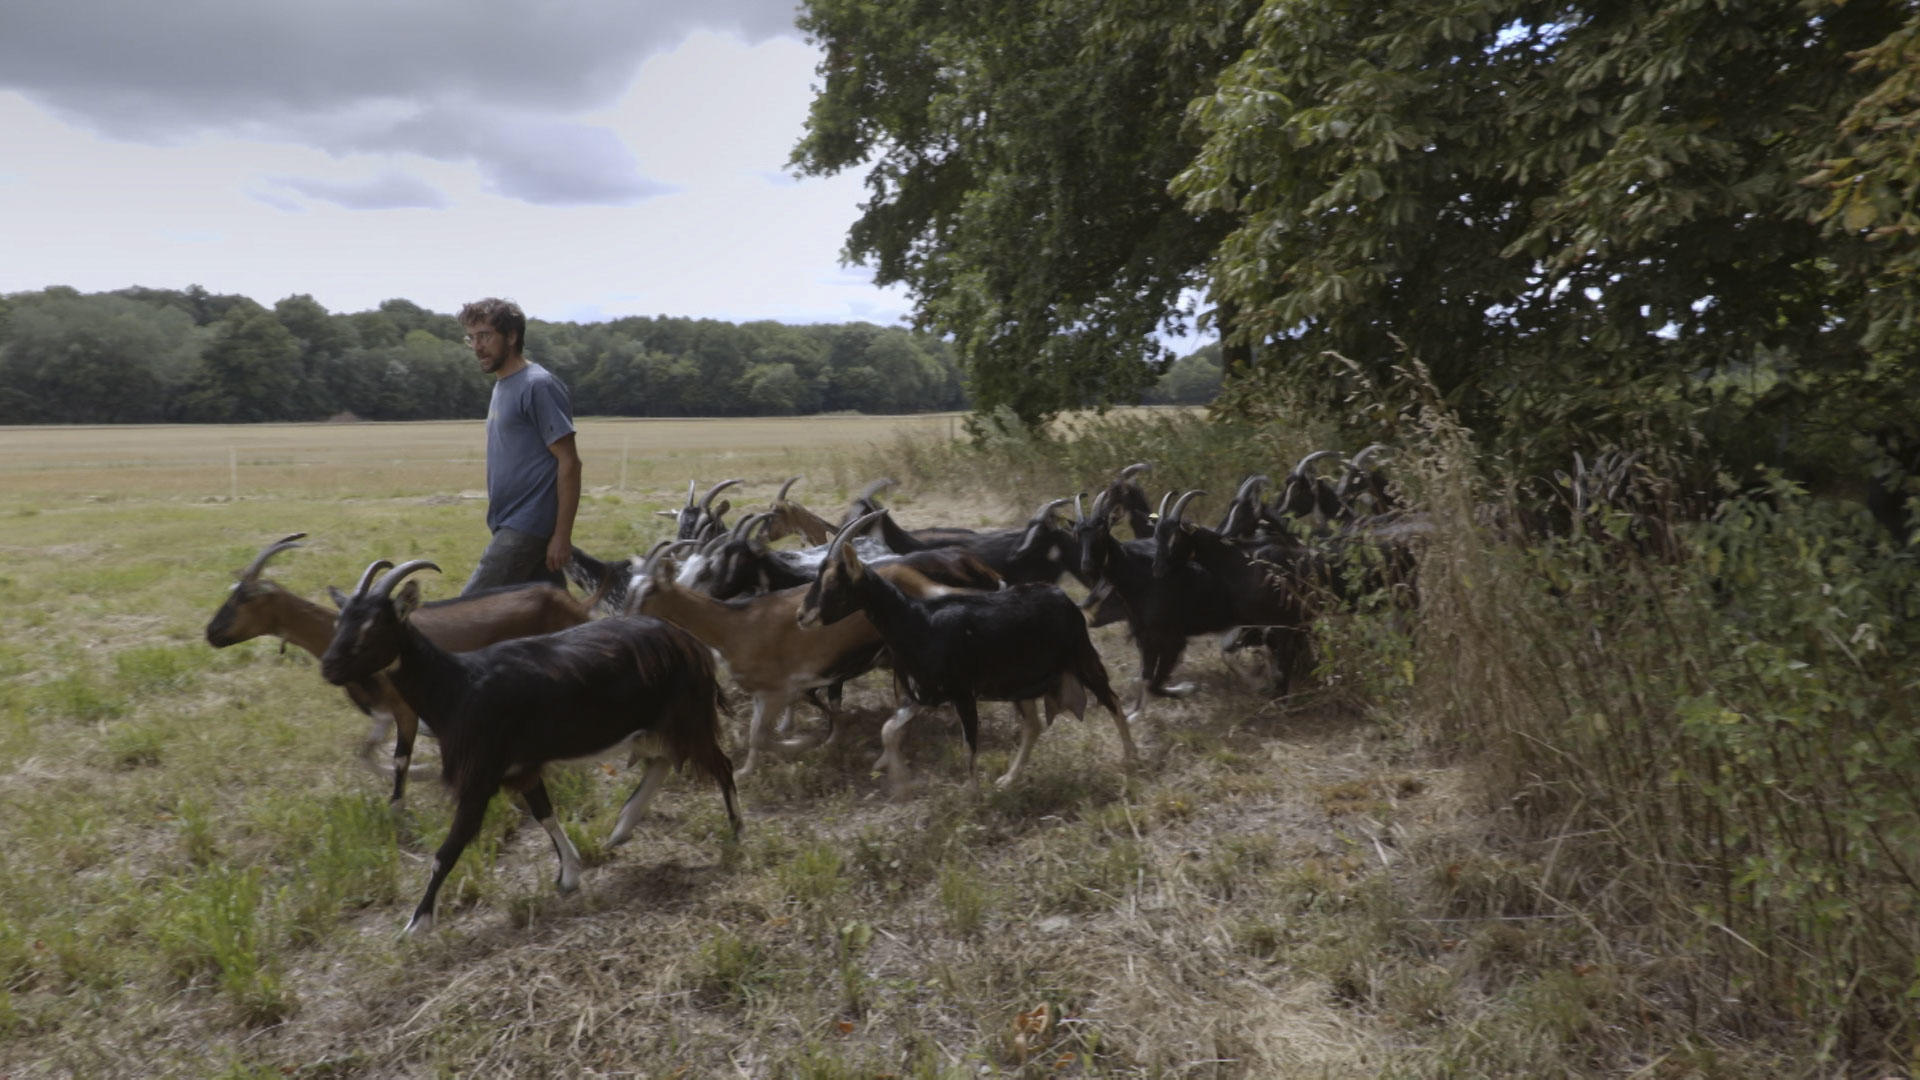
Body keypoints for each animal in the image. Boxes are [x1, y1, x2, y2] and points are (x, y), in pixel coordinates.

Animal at [318, 557, 737, 930]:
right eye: (340, 621)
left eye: (373, 625)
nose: (329, 667)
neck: (457, 687)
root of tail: (690, 643)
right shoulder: (522, 767)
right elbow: (544, 814)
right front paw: (569, 875)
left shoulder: (480, 776)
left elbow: (448, 848)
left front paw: (416, 925)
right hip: (655, 725)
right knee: (662, 761)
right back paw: (623, 826)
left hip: (688, 716)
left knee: (720, 765)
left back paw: (735, 834)